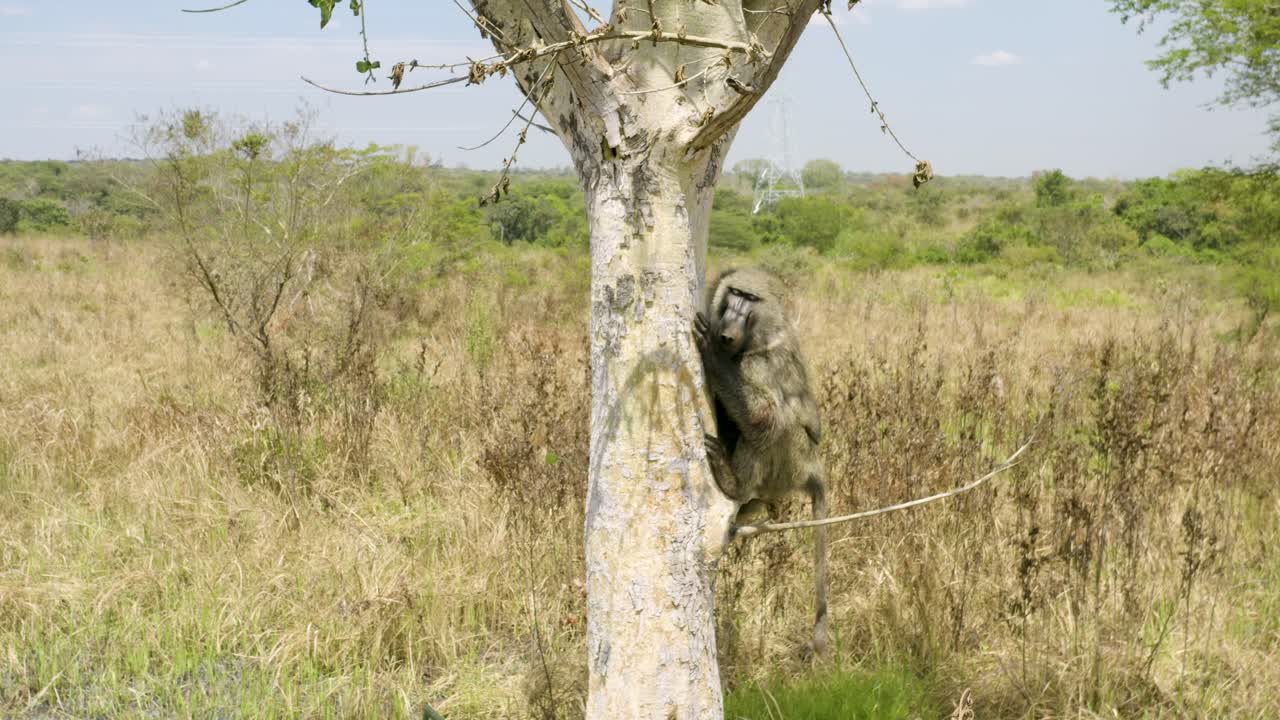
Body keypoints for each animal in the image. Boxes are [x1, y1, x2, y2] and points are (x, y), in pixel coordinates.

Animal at [693, 267, 829, 655]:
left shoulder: (762, 363)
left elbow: (764, 416)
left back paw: (734, 481)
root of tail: (813, 466)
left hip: (791, 463)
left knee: (780, 424)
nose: (728, 328)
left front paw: (714, 354)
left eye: (751, 300)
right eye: (734, 293)